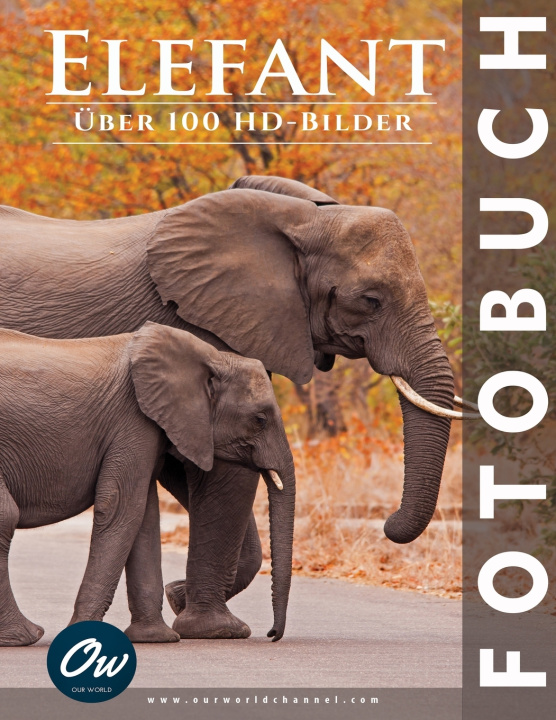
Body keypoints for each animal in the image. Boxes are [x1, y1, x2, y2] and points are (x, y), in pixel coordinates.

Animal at [0, 322, 295, 646]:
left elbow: (144, 517)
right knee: (6, 516)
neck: (210, 356)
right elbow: (121, 507)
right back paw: (23, 636)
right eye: (260, 419)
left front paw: (155, 638)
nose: (272, 634)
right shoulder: (133, 421)